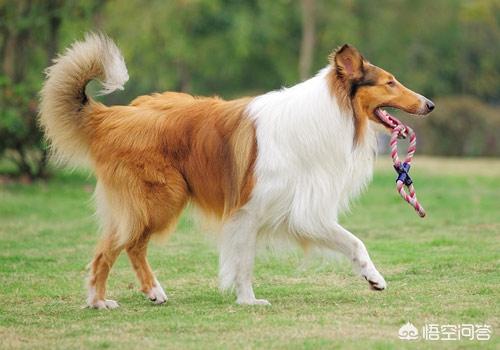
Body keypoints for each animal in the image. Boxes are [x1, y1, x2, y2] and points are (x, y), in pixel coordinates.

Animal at [39, 32, 434, 306]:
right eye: (390, 82)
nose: (430, 104)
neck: (329, 114)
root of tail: (113, 116)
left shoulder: (302, 211)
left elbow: (353, 242)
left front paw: (374, 278)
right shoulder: (248, 211)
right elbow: (243, 262)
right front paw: (248, 301)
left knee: (126, 245)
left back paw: (145, 293)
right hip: (160, 199)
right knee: (114, 248)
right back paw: (102, 300)